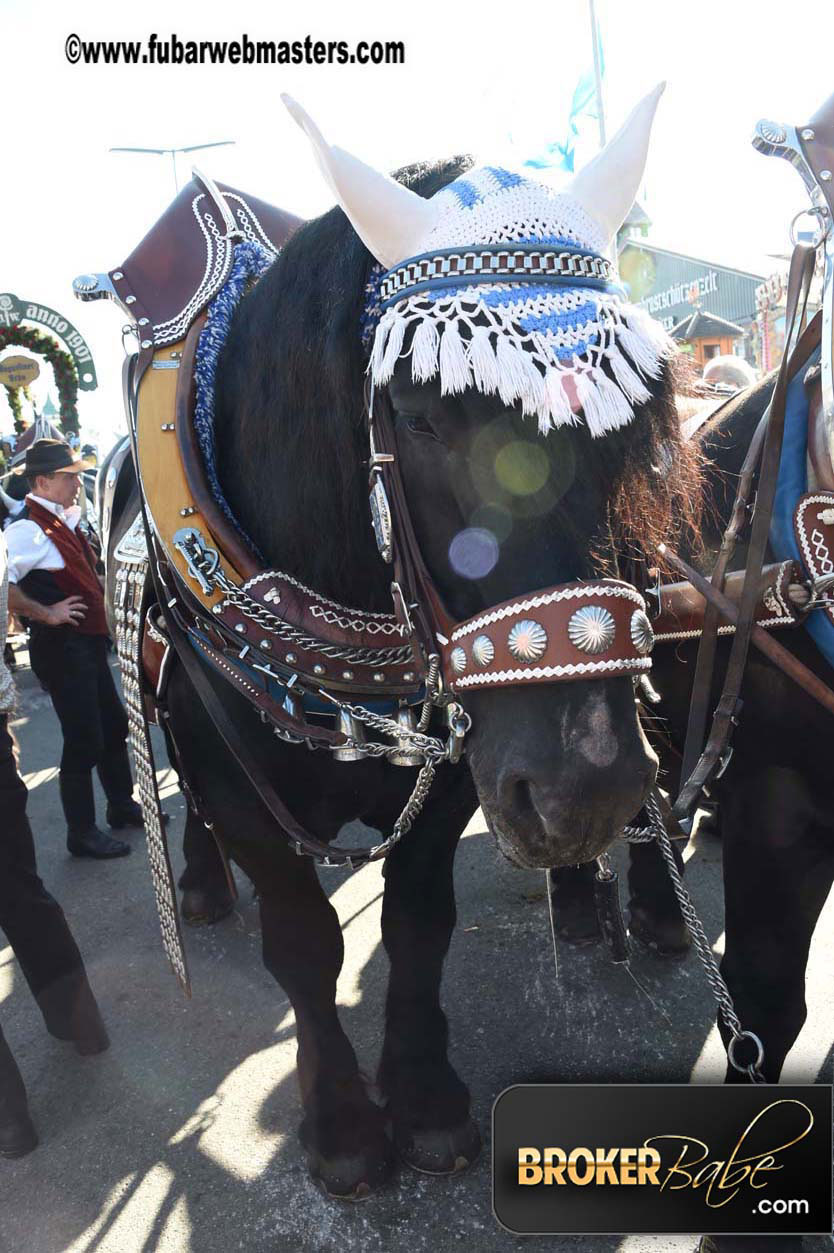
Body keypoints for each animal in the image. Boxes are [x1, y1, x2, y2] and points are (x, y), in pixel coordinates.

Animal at [102, 154, 701, 1192]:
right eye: (422, 419)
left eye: (632, 432)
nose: (591, 789)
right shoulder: (240, 787)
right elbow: (304, 941)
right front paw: (343, 1125)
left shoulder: (465, 767)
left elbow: (419, 921)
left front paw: (422, 1099)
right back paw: (205, 885)